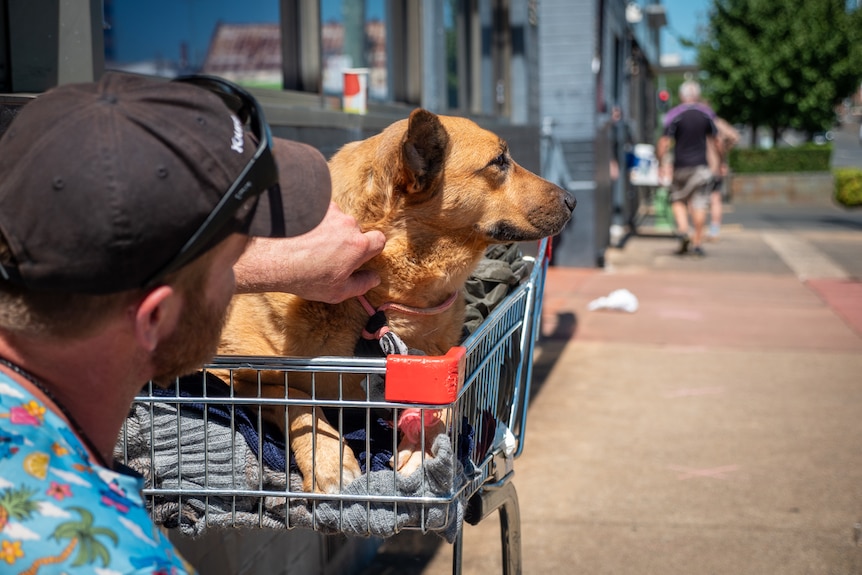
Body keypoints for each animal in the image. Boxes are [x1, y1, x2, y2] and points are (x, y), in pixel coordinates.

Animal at [219, 110, 576, 492]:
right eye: (499, 161)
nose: (574, 201)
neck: (384, 302)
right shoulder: (224, 373)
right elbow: (295, 398)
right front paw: (329, 462)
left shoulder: (447, 369)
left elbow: (445, 403)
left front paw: (421, 448)